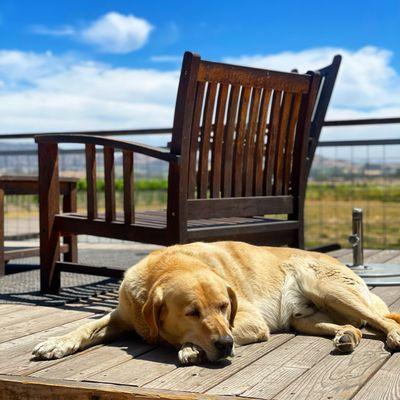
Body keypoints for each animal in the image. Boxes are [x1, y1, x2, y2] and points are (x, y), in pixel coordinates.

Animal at [33, 241, 400, 366]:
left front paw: (189, 349)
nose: (225, 345)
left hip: (327, 286)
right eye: (191, 312)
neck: (166, 267)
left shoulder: (250, 321)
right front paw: (56, 343)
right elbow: (86, 327)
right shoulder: (122, 315)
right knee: (353, 326)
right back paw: (346, 336)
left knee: (383, 320)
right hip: (303, 318)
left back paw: (393, 336)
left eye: (224, 306)